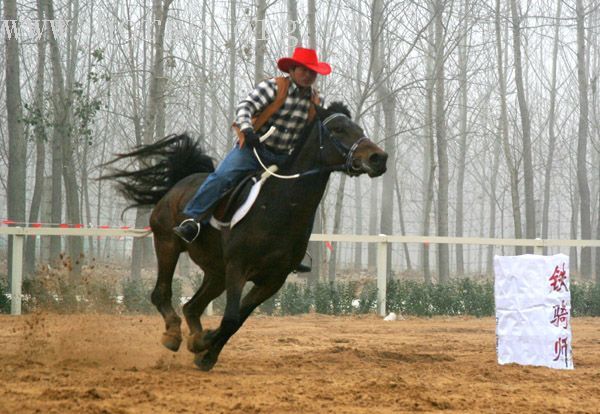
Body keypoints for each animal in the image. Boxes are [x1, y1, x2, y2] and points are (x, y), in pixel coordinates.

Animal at [105, 102, 386, 370]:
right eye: (338, 129)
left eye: (359, 128)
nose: (379, 158)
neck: (281, 205)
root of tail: (180, 183)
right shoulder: (238, 267)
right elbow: (230, 317)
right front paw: (205, 345)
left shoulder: (272, 280)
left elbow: (237, 320)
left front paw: (205, 351)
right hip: (168, 244)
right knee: (161, 294)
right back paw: (174, 334)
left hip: (216, 272)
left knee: (192, 306)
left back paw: (194, 336)